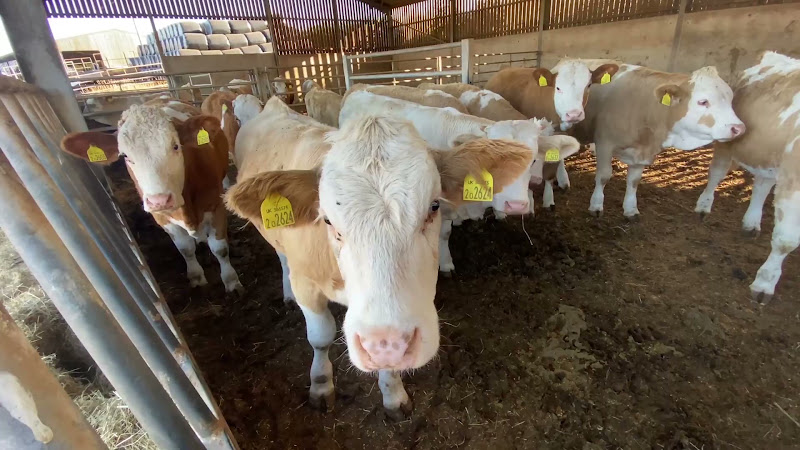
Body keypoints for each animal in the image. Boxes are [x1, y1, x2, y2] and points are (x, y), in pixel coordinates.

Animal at [59, 98, 244, 295]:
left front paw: (231, 282)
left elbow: (220, 248)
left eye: (175, 146)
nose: (159, 200)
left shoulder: (215, 205)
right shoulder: (162, 217)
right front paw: (196, 277)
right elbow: (185, 248)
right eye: (125, 155)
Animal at [225, 97, 535, 415]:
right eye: (327, 220)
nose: (386, 342)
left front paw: (393, 393)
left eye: (434, 206)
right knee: (281, 258)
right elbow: (320, 337)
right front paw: (321, 385)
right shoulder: (306, 283)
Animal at [573, 64, 745, 218]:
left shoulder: (642, 153)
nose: (739, 128)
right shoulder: (605, 143)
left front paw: (630, 209)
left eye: (730, 100)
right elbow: (603, 175)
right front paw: (596, 205)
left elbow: (634, 180)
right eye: (703, 102)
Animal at [694, 51, 800, 303]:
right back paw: (703, 206)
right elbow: (786, 240)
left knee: (762, 185)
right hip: (728, 142)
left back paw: (751, 223)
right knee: (716, 173)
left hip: (768, 156)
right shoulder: (793, 180)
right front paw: (764, 283)